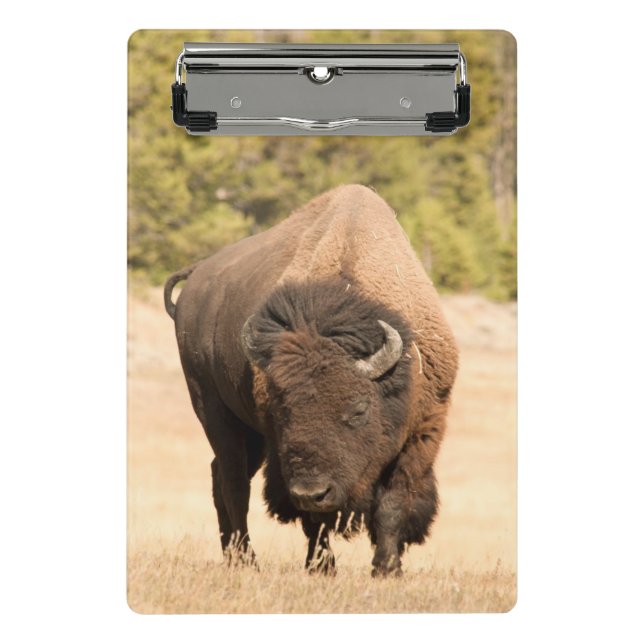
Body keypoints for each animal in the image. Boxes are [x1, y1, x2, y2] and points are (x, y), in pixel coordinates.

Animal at [164, 185, 458, 576]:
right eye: (283, 410)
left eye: (358, 410)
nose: (311, 492)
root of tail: (197, 276)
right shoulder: (282, 450)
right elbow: (314, 520)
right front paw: (322, 568)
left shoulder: (423, 431)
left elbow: (393, 502)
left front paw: (387, 569)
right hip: (213, 410)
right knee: (233, 482)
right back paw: (247, 560)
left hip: (249, 434)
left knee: (221, 477)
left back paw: (232, 556)